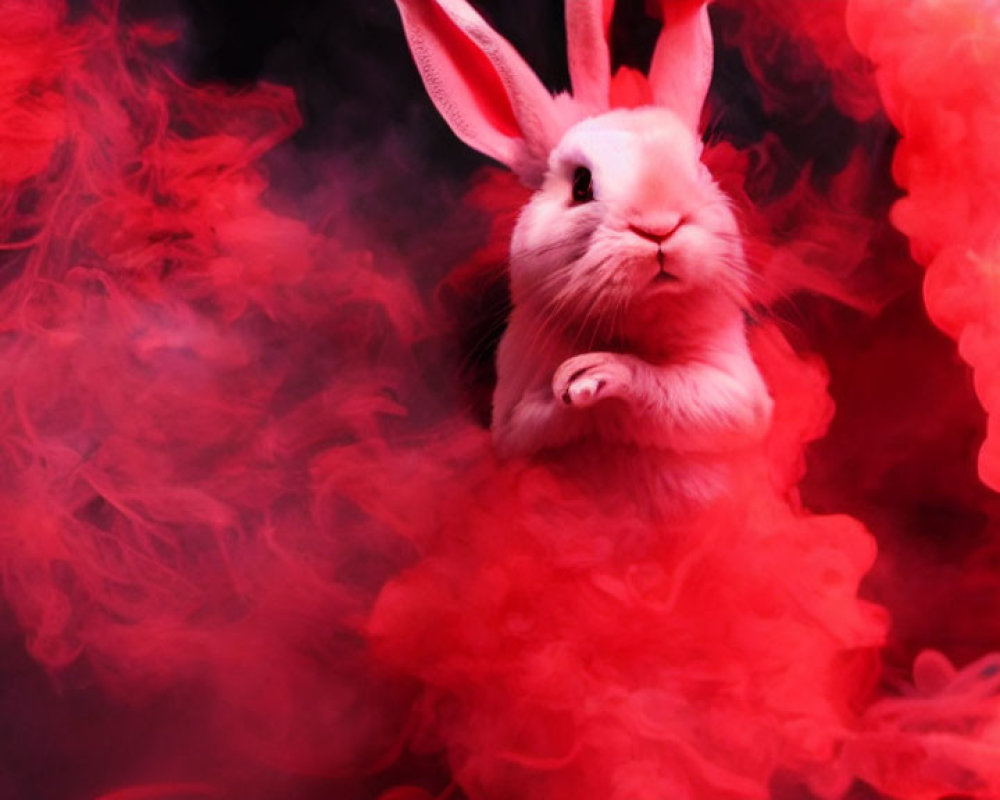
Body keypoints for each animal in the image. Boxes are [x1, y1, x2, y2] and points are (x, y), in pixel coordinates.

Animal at [394, 0, 768, 510]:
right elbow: (541, 420)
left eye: (700, 169)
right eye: (581, 185)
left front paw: (600, 373)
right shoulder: (511, 421)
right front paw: (576, 384)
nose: (659, 226)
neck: (632, 331)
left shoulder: (737, 393)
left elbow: (688, 396)